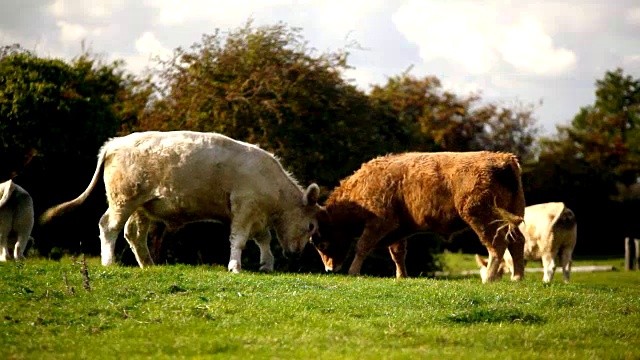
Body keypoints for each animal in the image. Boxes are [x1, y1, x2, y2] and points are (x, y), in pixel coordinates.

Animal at [39, 131, 320, 272]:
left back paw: (148, 265)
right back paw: (109, 262)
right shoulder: (244, 208)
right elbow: (239, 240)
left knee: (134, 234)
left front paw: (267, 265)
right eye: (311, 226)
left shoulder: (258, 216)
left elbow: (263, 240)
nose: (297, 254)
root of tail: (115, 143)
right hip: (123, 199)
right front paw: (235, 266)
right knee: (109, 227)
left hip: (142, 206)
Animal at [310, 150, 524, 282]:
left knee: (497, 244)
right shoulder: (398, 230)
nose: (329, 269)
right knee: (516, 241)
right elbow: (397, 254)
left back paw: (489, 277)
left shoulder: (379, 223)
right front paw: (401, 276)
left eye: (321, 243)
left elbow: (362, 246)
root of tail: (504, 159)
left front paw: (353, 271)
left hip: (480, 218)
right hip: (510, 218)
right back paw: (517, 277)